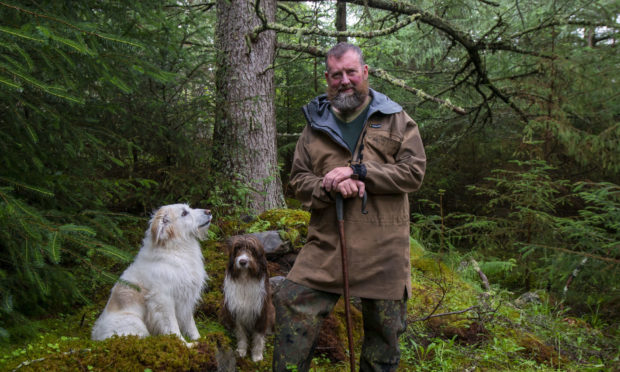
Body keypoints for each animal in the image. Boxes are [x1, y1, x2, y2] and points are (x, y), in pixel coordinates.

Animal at [89, 203, 211, 346]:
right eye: (184, 213)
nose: (209, 211)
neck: (174, 249)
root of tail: (95, 337)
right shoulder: (163, 300)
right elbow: (173, 327)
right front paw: (184, 345)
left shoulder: (186, 298)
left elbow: (190, 324)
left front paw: (199, 339)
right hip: (135, 323)